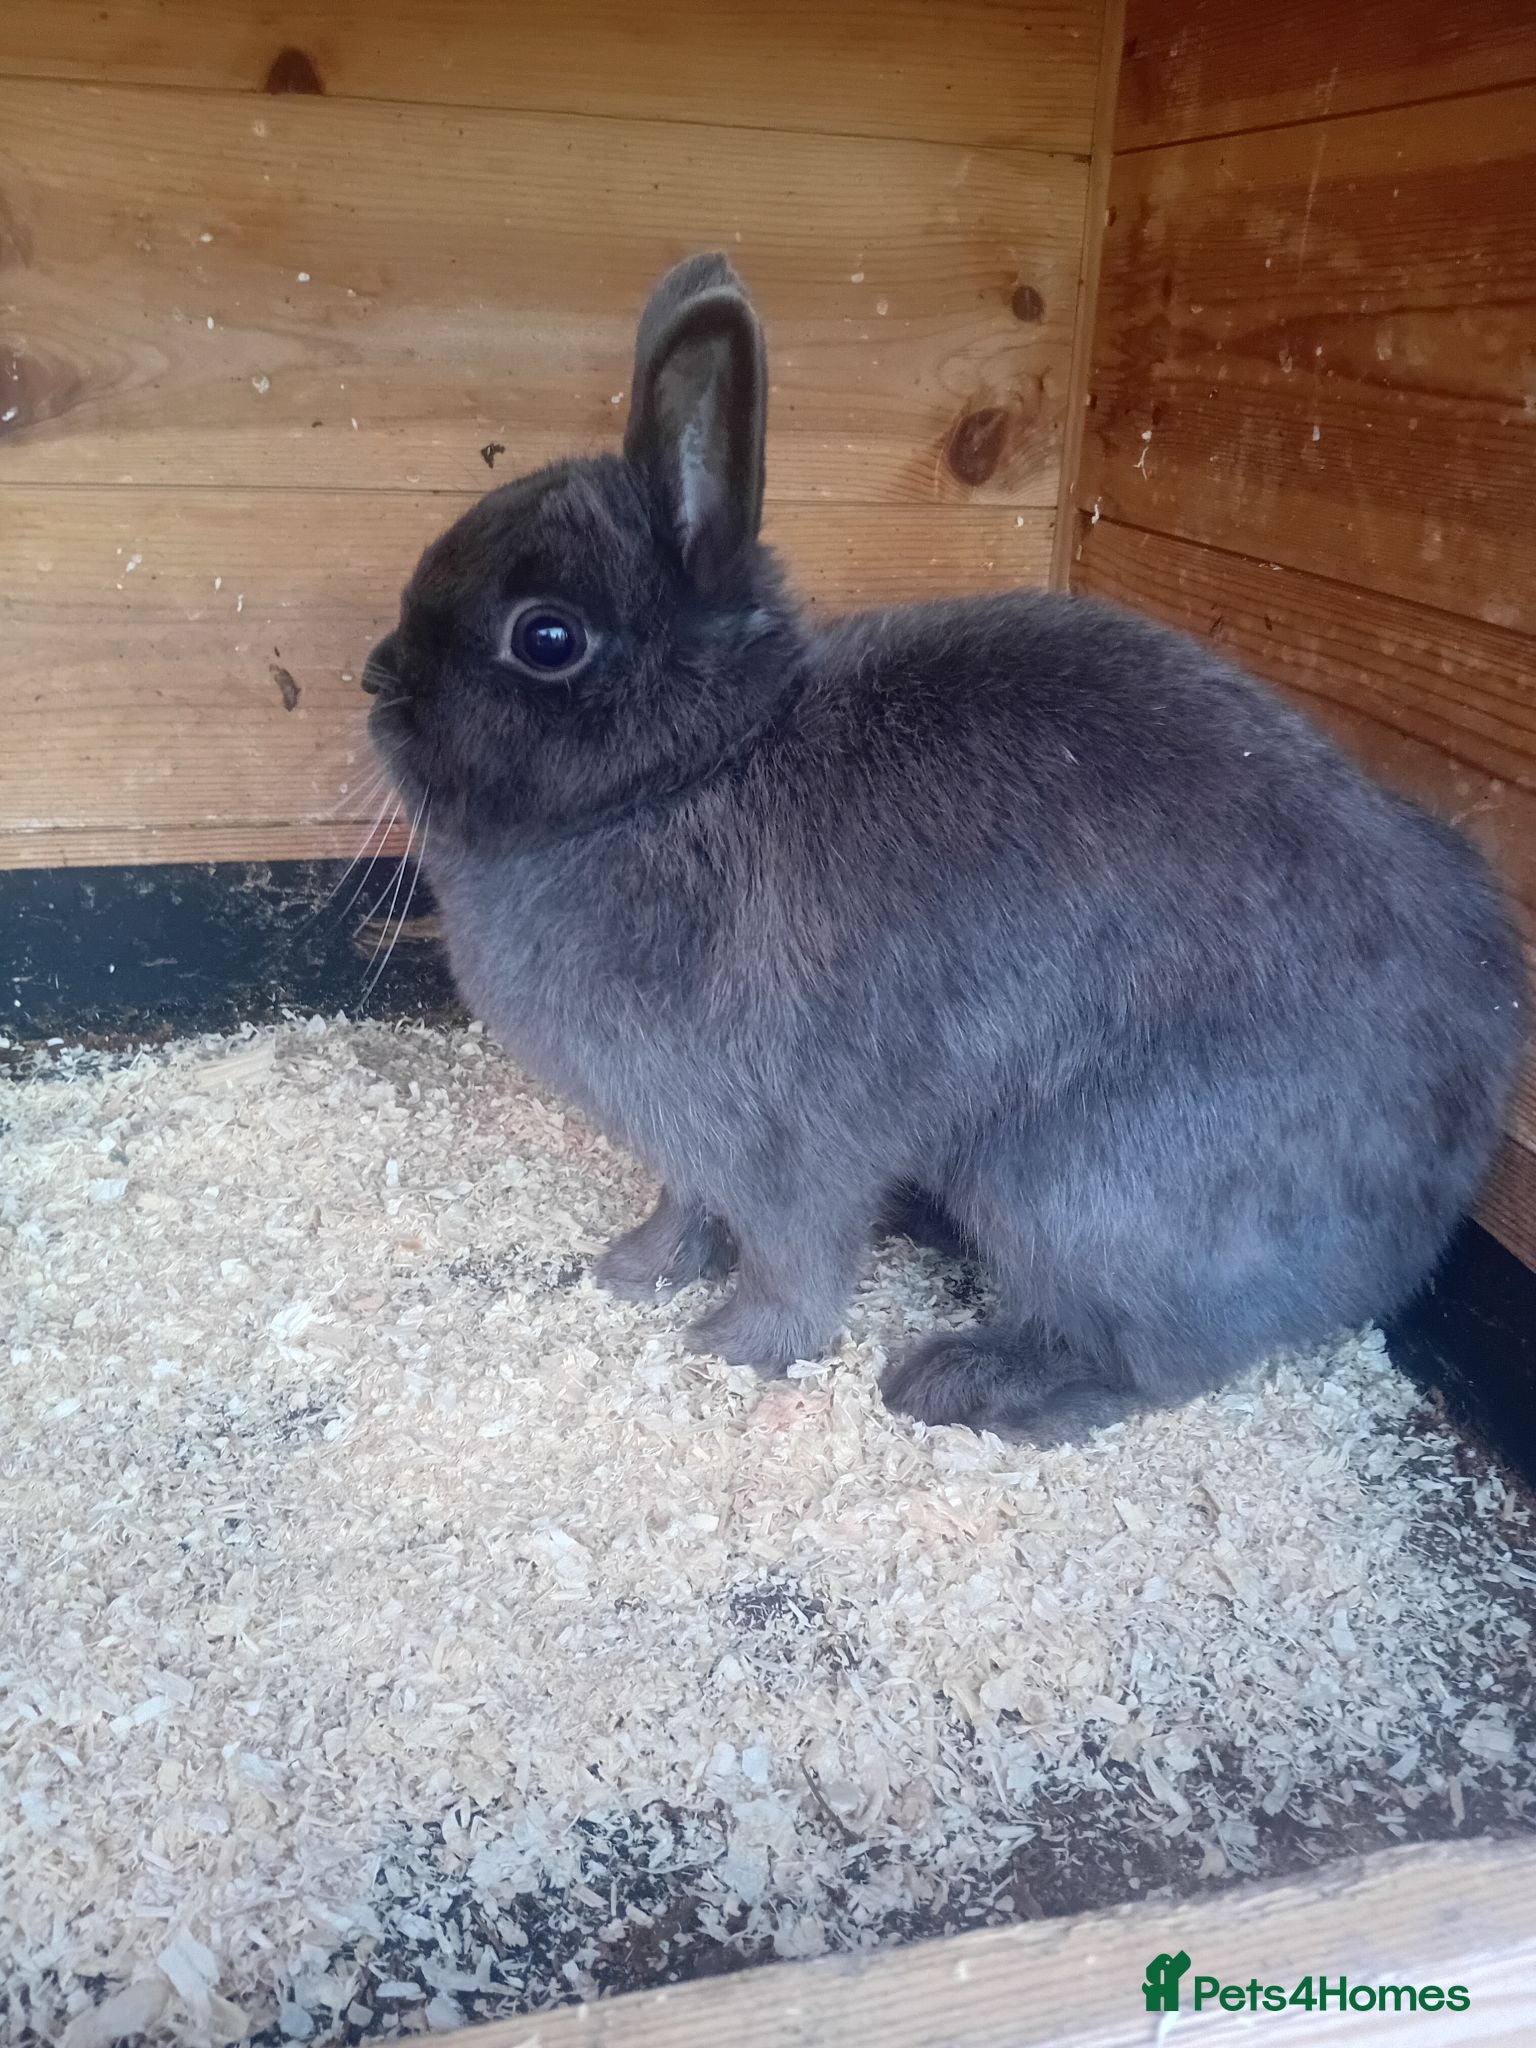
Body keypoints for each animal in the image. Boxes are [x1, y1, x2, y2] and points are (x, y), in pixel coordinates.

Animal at [363, 251, 1526, 1445]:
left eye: (546, 636)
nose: (374, 678)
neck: (691, 772)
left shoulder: (782, 1146)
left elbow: (794, 1260)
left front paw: (729, 1347)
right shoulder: (690, 1147)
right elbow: (684, 1209)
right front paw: (630, 1270)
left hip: (1080, 1187)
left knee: (1145, 1360)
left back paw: (961, 1382)